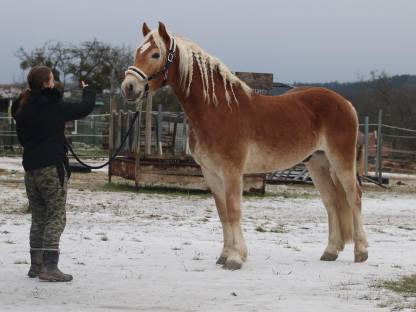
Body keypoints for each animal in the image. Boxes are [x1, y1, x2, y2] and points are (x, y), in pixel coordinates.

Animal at [120, 22, 368, 270]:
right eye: (137, 52)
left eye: (155, 54)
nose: (128, 87)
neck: (218, 109)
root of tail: (346, 104)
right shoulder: (210, 172)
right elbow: (222, 213)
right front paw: (225, 255)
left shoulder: (232, 171)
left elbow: (233, 210)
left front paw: (234, 259)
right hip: (317, 163)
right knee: (332, 201)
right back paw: (330, 251)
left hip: (341, 161)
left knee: (353, 196)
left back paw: (361, 252)